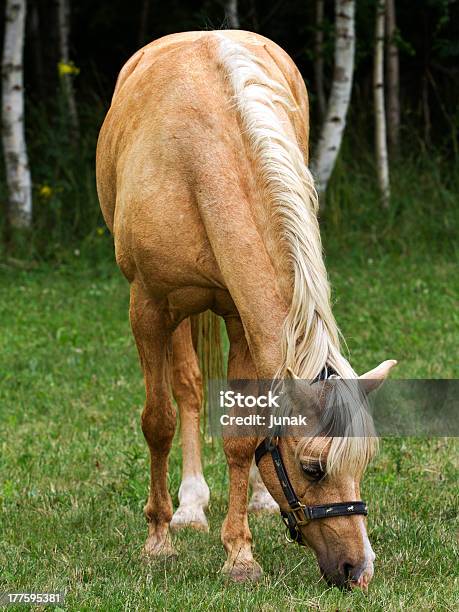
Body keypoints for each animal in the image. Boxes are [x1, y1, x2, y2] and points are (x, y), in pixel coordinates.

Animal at [95, 28, 398, 588]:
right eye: (313, 467)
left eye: (364, 463)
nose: (359, 569)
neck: (198, 163)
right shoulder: (148, 306)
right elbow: (159, 421)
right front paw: (158, 541)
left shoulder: (240, 318)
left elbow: (244, 434)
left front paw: (239, 555)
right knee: (187, 389)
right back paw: (189, 505)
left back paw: (255, 499)